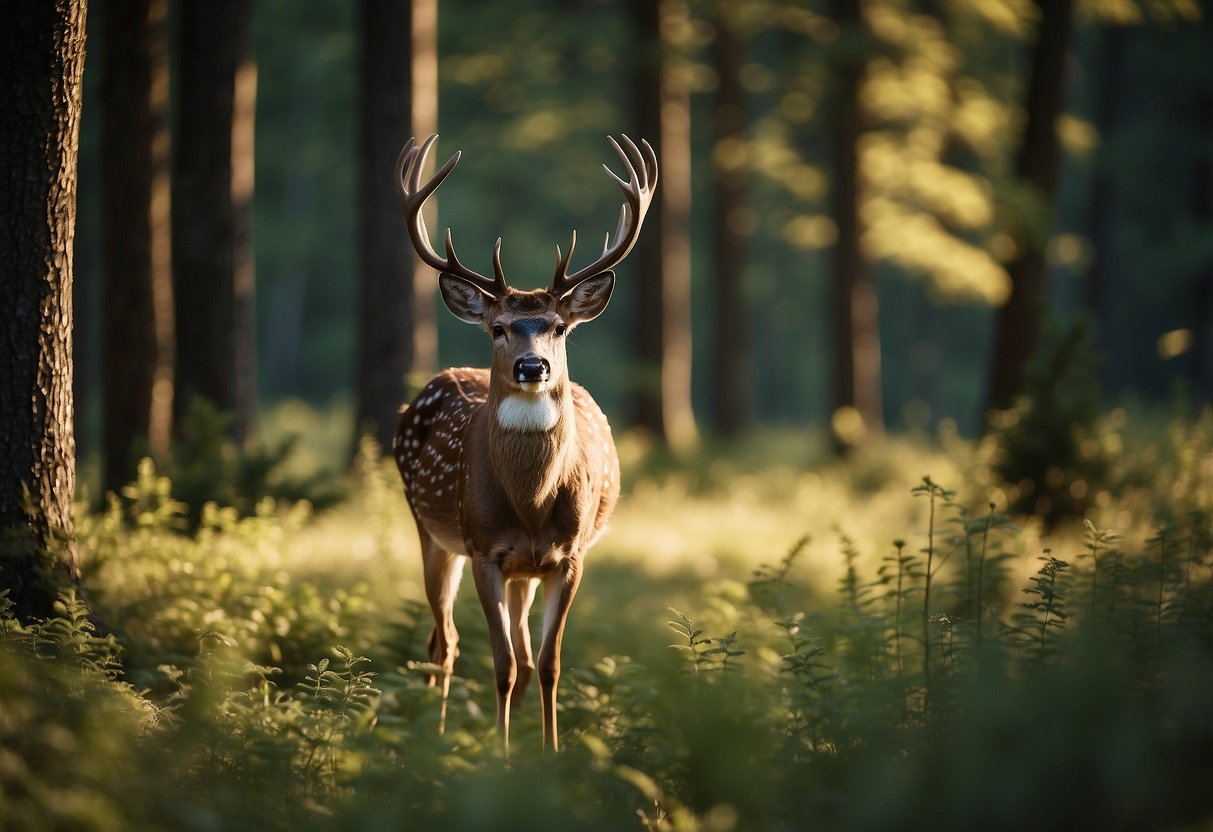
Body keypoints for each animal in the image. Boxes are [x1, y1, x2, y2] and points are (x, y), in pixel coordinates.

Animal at [390, 132, 655, 756]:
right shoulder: (485, 548)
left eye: (558, 327)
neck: (532, 505)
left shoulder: (570, 555)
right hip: (431, 532)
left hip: (524, 573)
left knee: (521, 655)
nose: (532, 366)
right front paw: (503, 757)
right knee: (444, 641)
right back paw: (436, 738)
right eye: (498, 327)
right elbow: (502, 665)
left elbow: (550, 663)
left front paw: (549, 755)